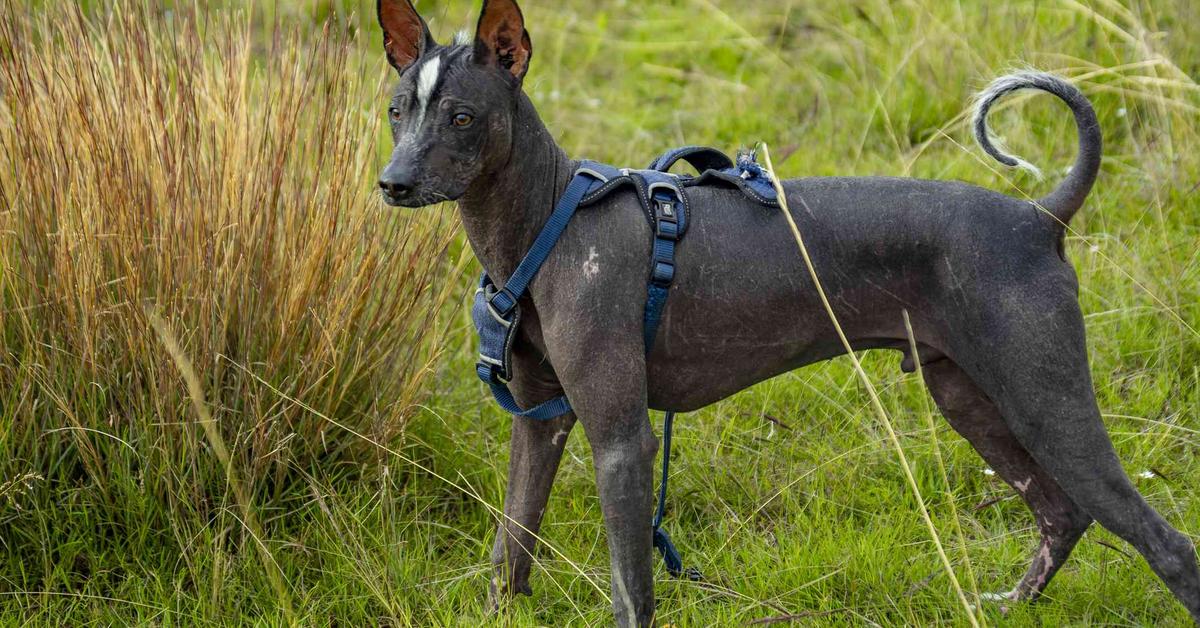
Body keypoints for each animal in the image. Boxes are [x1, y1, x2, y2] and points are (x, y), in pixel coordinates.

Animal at [372, 0, 1200, 624]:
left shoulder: (620, 440)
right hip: (970, 397)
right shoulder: (539, 426)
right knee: (1061, 513)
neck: (548, 220)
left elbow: (631, 590)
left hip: (1044, 399)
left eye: (462, 117)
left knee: (1166, 545)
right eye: (396, 111)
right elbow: (509, 549)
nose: (393, 183)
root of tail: (1039, 215)